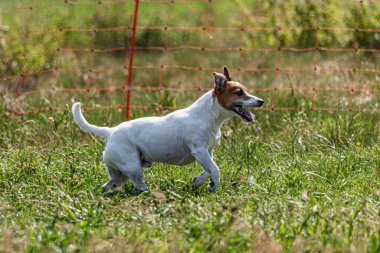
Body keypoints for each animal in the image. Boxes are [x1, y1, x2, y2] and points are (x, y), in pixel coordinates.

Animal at [73, 66, 264, 192]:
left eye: (246, 90)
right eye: (239, 92)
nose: (261, 101)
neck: (208, 116)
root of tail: (110, 131)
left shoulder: (207, 152)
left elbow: (208, 169)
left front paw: (199, 181)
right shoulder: (199, 151)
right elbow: (215, 170)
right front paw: (214, 186)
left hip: (121, 174)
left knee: (108, 185)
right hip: (133, 166)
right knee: (139, 185)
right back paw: (148, 194)